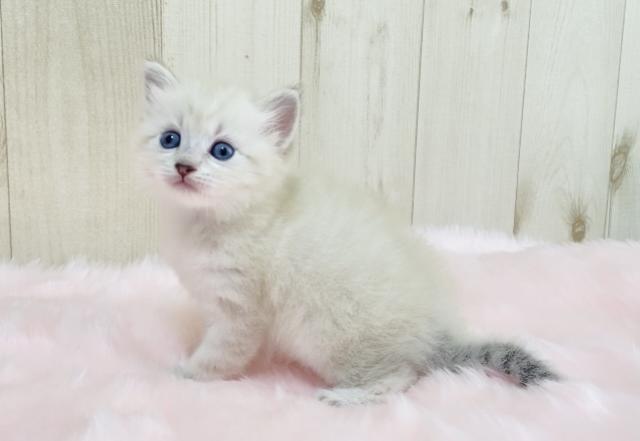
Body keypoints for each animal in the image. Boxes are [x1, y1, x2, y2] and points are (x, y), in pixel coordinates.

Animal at [138, 61, 558, 406]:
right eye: (170, 139)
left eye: (222, 150)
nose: (184, 167)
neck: (209, 222)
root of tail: (438, 335)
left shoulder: (240, 313)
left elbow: (220, 355)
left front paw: (185, 373)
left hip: (332, 338)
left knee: (402, 376)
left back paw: (345, 397)